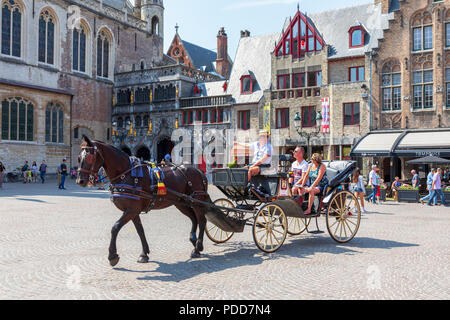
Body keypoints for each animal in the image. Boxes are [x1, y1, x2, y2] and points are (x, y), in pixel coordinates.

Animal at [77, 134, 211, 264]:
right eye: (78, 158)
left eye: (89, 157)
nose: (80, 181)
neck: (126, 174)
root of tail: (198, 170)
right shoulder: (133, 211)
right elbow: (140, 230)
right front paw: (144, 254)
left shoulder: (131, 210)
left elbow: (115, 227)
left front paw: (112, 256)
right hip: (181, 203)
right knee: (194, 218)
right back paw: (194, 241)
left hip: (196, 201)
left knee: (202, 220)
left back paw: (197, 248)